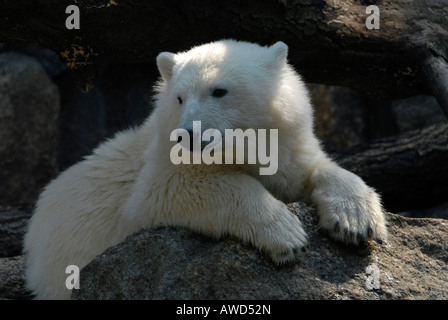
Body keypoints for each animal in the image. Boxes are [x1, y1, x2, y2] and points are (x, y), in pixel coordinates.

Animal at [22, 40, 386, 300]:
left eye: (219, 91)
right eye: (180, 98)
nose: (187, 134)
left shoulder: (286, 147)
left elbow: (311, 172)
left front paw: (354, 221)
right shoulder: (161, 170)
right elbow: (176, 189)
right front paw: (286, 235)